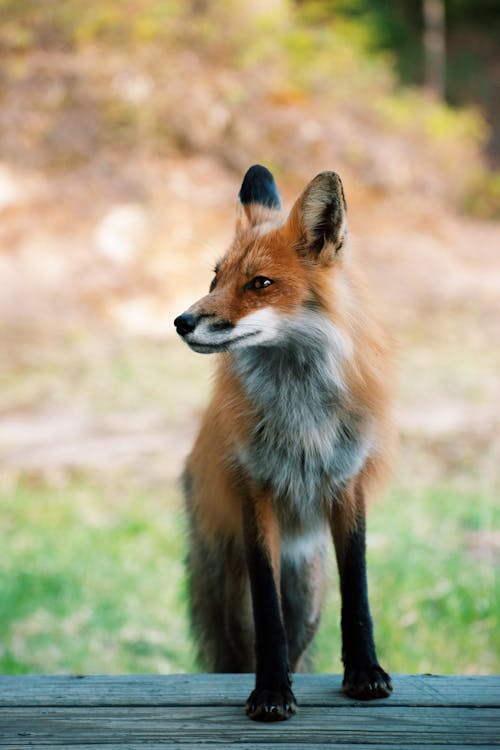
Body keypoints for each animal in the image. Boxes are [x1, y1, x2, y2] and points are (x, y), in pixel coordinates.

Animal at [174, 166, 392, 724]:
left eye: (260, 284)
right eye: (215, 278)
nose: (181, 322)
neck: (301, 422)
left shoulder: (346, 484)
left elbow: (358, 592)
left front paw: (365, 673)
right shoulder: (256, 492)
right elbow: (267, 615)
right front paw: (271, 692)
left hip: (309, 598)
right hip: (231, 601)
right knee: (240, 650)